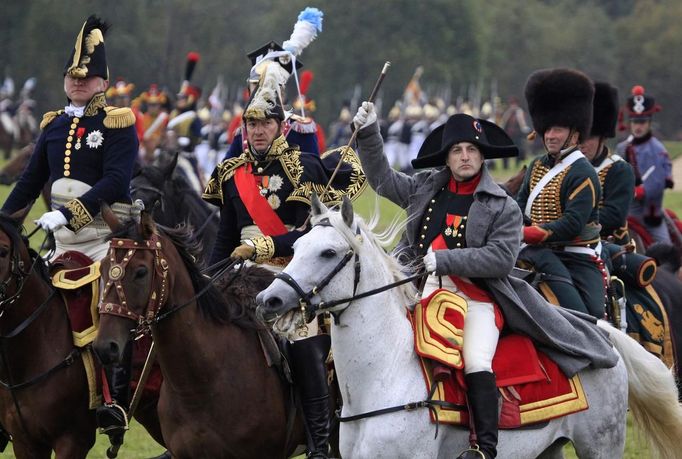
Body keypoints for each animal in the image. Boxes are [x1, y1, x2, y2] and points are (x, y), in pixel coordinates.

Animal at [258, 198, 680, 459]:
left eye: (328, 252)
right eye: (297, 248)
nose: (269, 300)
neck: (383, 377)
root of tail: (602, 333)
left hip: (600, 445)